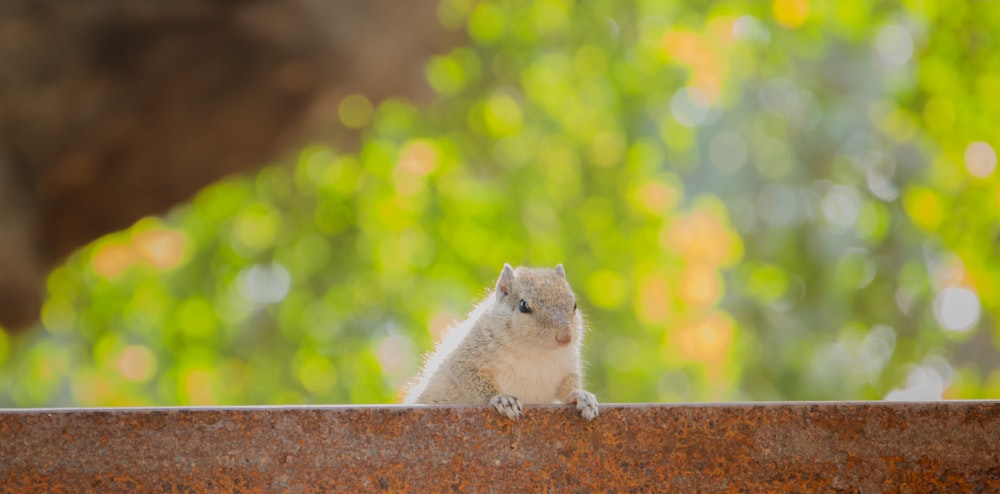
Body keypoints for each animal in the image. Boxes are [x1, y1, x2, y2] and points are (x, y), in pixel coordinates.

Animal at [408, 262, 600, 420]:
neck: (534, 351)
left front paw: (582, 396)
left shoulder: (566, 367)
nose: (565, 338)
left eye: (574, 305)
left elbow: (568, 384)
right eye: (523, 306)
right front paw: (503, 399)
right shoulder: (466, 358)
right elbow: (470, 379)